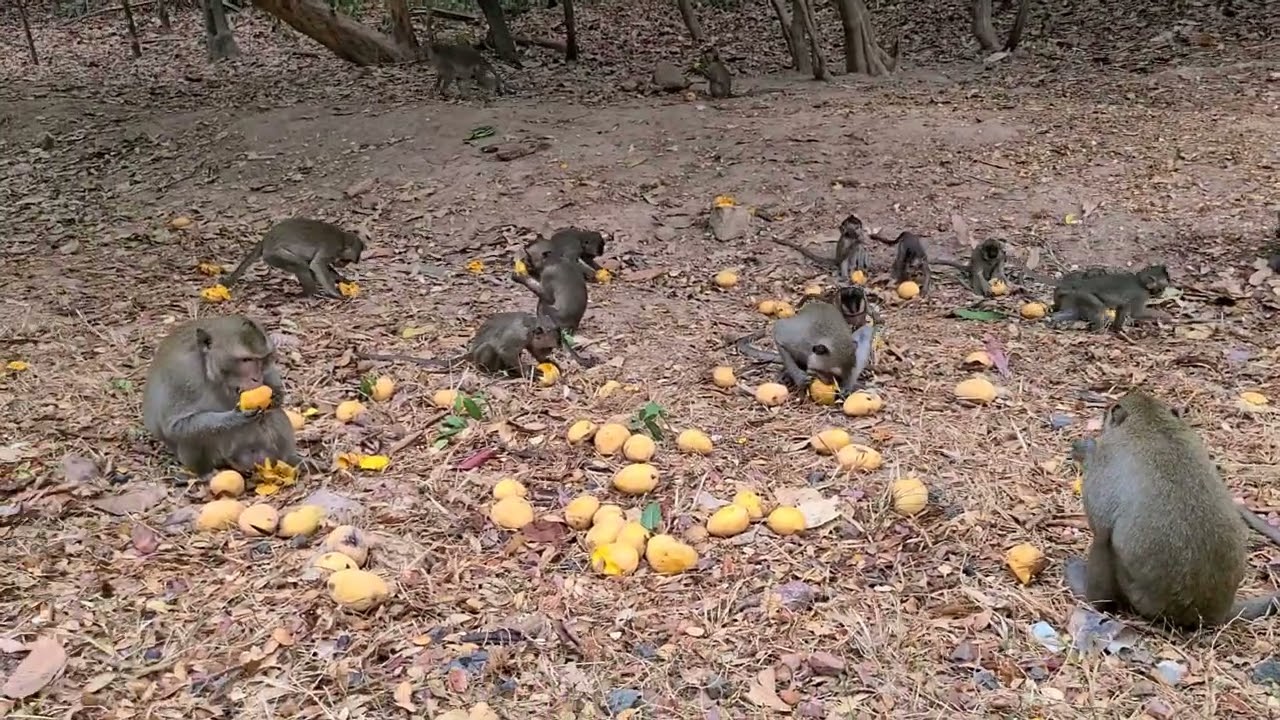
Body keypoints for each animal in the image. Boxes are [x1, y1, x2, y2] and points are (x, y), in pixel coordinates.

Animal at [142, 315, 300, 478]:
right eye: (246, 360)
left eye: (262, 360)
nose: (256, 378)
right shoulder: (181, 375)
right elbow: (175, 426)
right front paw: (235, 417)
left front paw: (277, 393)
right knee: (192, 437)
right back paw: (205, 473)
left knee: (273, 414)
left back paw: (289, 460)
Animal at [223, 218, 364, 299]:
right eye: (346, 261)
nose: (343, 265)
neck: (342, 240)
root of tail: (265, 240)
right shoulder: (331, 248)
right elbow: (317, 264)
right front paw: (335, 293)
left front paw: (344, 280)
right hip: (275, 254)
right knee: (301, 264)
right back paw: (313, 293)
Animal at [357, 312, 558, 376]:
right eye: (549, 347)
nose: (550, 352)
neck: (531, 326)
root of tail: (471, 352)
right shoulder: (518, 336)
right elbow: (505, 351)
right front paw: (529, 372)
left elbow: (533, 352)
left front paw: (548, 362)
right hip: (481, 356)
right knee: (490, 349)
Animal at [734, 290, 874, 396]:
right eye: (832, 375)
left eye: (839, 377)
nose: (835, 384)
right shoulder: (798, 340)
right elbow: (778, 331)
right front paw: (799, 378)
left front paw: (847, 386)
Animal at [1065, 389, 1280, 628]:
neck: (1152, 422)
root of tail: (1212, 612)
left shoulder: (1105, 457)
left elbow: (1101, 526)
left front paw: (1085, 449)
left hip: (1137, 594)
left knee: (1105, 541)